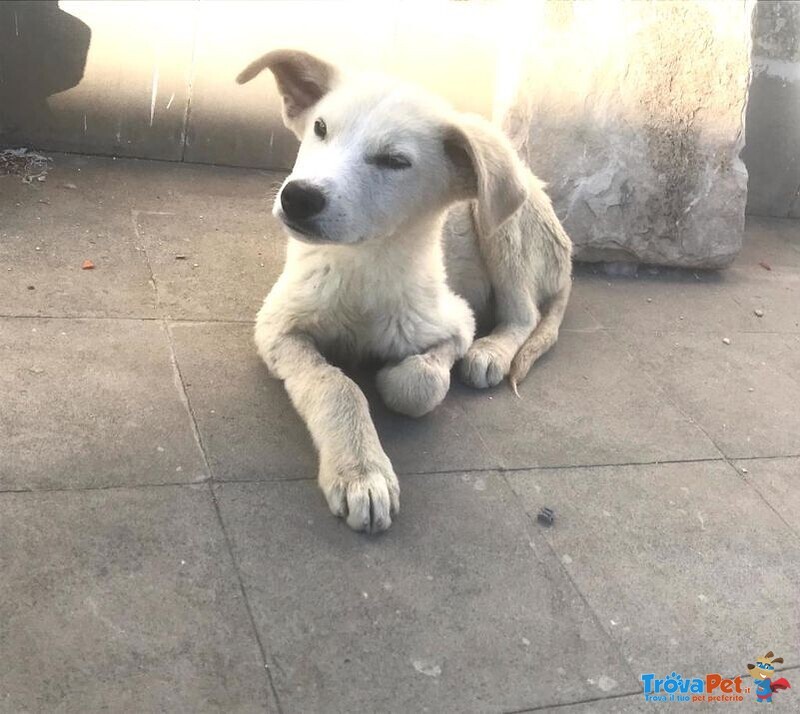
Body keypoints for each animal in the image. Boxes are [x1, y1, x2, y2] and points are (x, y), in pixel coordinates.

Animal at [239, 50, 576, 532]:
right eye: (320, 128)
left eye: (395, 161)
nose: (298, 198)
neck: (363, 266)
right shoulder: (278, 326)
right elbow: (335, 384)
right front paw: (361, 471)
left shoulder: (457, 322)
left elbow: (420, 384)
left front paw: (390, 378)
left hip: (500, 221)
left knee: (525, 315)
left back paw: (491, 352)